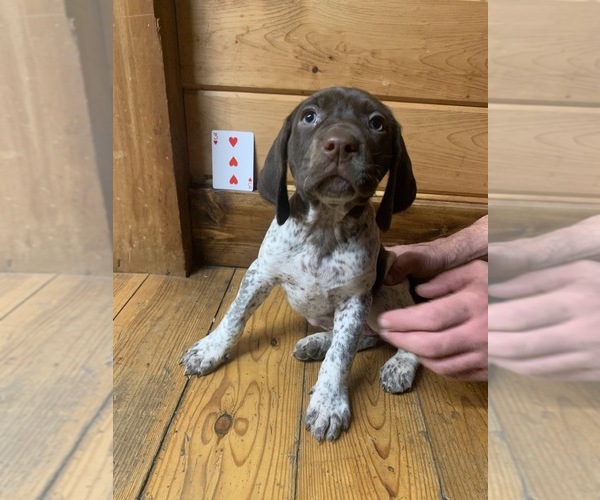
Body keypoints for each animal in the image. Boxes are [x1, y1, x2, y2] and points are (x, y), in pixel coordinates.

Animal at [185, 87, 420, 442]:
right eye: (309, 116)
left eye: (377, 123)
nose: (340, 143)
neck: (323, 227)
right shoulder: (259, 274)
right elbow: (234, 316)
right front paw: (211, 349)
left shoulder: (355, 300)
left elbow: (342, 354)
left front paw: (329, 402)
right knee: (366, 337)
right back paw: (316, 343)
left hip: (388, 288)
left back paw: (399, 365)